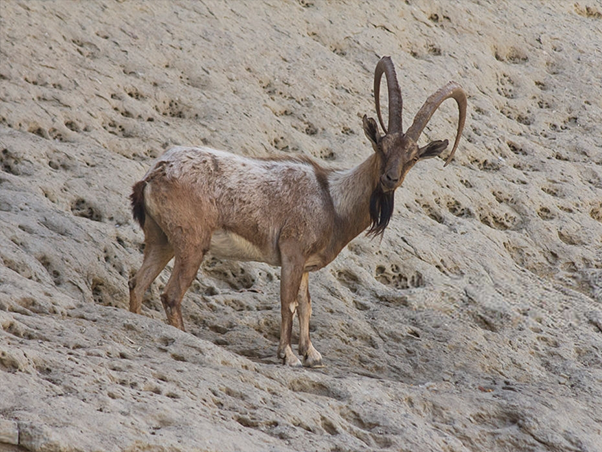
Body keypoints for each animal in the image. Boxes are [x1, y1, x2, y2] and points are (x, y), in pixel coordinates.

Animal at [127, 56, 464, 368]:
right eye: (381, 146)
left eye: (412, 158)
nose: (389, 179)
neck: (332, 199)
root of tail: (154, 173)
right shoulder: (292, 252)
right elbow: (288, 302)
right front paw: (288, 356)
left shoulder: (304, 265)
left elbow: (306, 304)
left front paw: (311, 353)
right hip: (192, 243)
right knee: (171, 294)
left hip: (161, 239)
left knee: (138, 282)